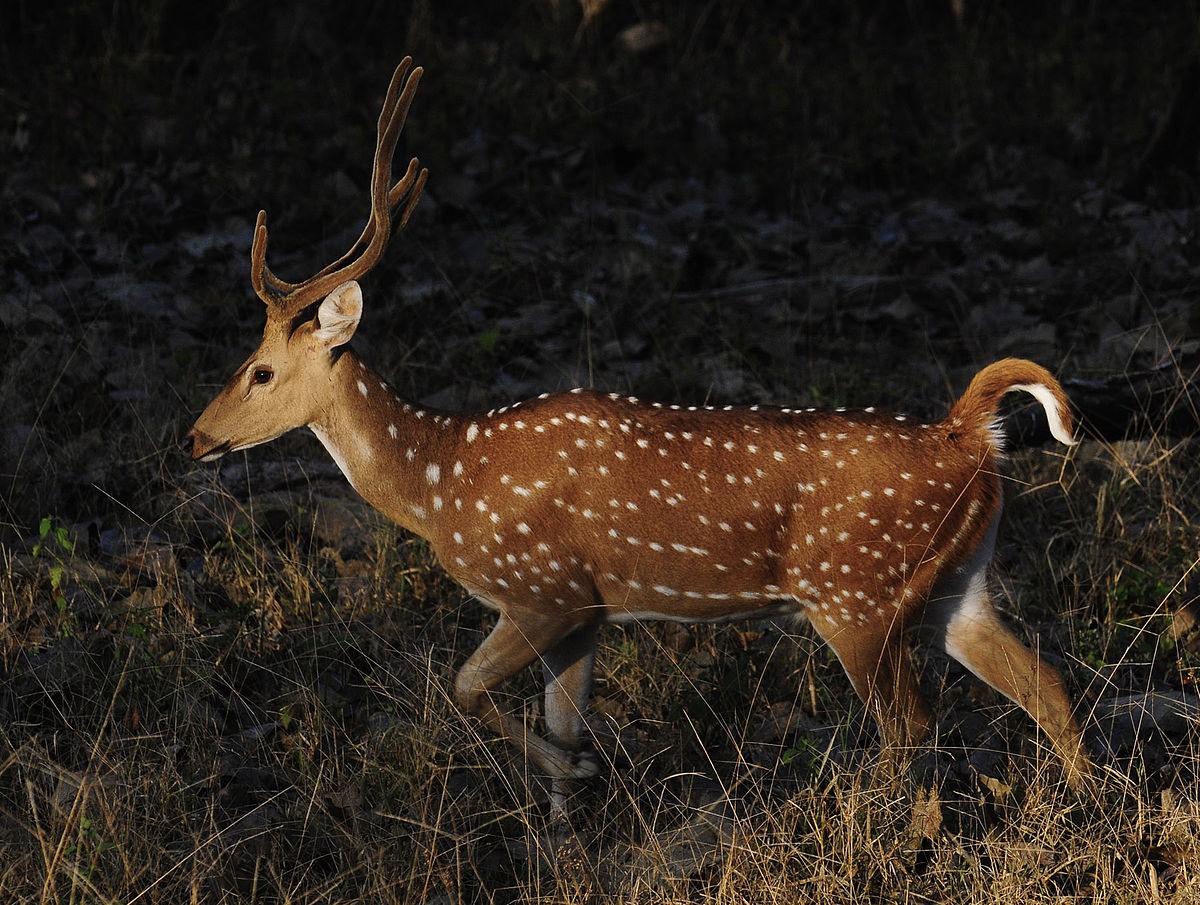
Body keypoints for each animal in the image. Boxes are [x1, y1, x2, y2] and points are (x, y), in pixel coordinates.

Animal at [182, 56, 1094, 792]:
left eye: (260, 370)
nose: (195, 436)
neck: (441, 484)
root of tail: (967, 433)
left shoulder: (542, 588)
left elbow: (465, 688)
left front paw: (578, 765)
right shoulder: (587, 610)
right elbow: (552, 724)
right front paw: (570, 803)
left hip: (856, 594)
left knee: (915, 729)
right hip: (955, 582)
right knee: (1048, 686)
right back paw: (1087, 807)